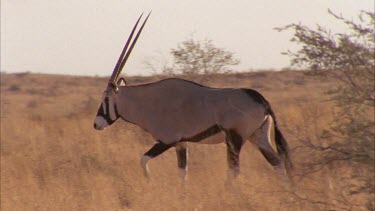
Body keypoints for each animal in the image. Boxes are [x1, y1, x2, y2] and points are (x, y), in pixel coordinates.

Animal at [93, 12, 294, 181]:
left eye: (106, 99)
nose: (96, 124)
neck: (149, 102)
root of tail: (260, 100)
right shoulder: (182, 144)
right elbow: (182, 172)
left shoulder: (167, 140)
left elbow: (143, 159)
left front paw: (149, 180)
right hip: (257, 136)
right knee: (277, 163)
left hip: (235, 139)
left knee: (234, 170)